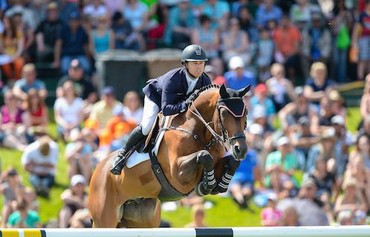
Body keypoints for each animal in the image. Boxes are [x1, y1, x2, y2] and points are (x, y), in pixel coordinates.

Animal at [88, 84, 250, 227]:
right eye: (224, 113)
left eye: (246, 113)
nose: (240, 150)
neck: (197, 131)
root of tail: (98, 169)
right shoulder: (178, 173)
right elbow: (204, 156)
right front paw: (207, 185)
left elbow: (232, 162)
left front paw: (220, 185)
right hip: (104, 219)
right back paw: (117, 163)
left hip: (143, 218)